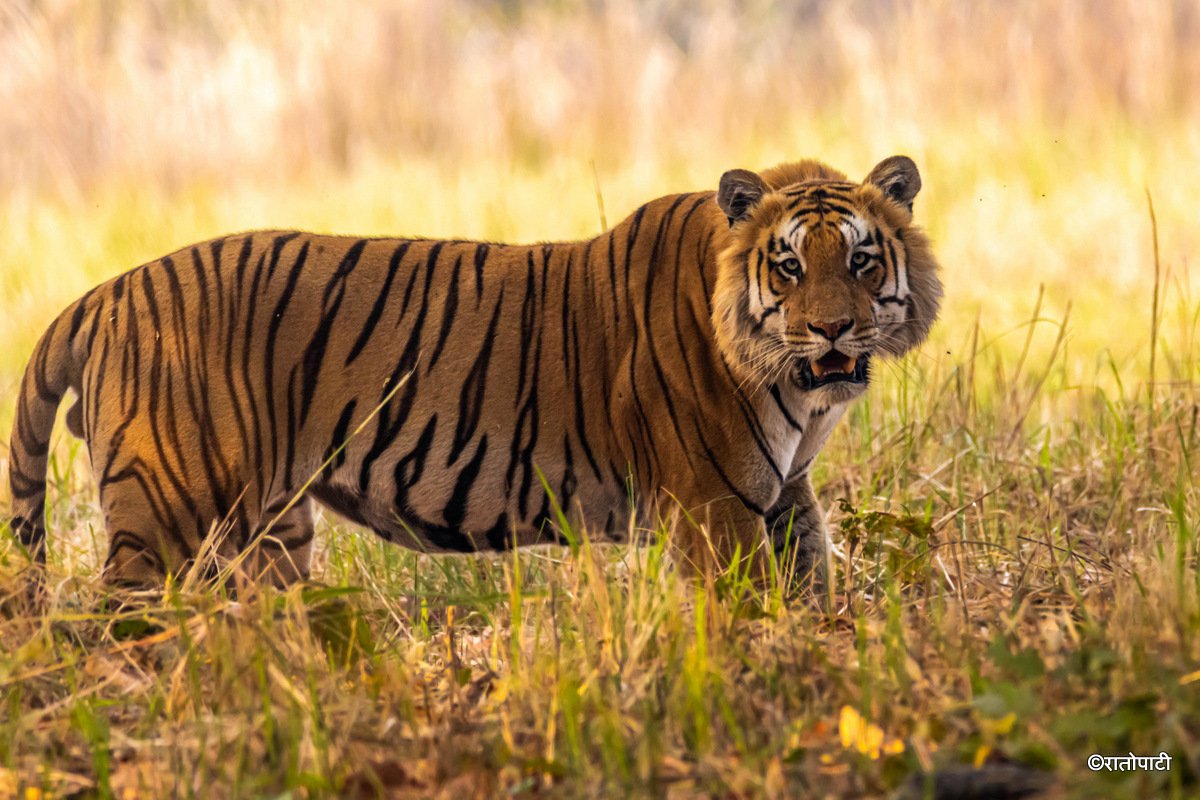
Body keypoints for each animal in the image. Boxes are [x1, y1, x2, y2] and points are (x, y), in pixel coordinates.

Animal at [7, 155, 941, 589]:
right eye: (788, 267)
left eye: (860, 261)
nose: (832, 329)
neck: (797, 392)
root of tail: (105, 291)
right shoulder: (716, 509)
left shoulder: (782, 496)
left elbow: (814, 583)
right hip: (164, 516)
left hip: (270, 531)